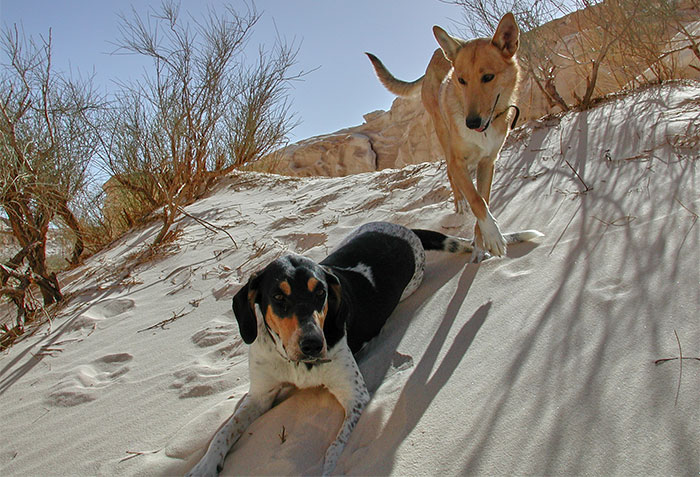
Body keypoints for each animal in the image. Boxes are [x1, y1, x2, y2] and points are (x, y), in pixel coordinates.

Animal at [187, 221, 540, 474]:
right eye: (278, 297)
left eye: (321, 293)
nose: (314, 345)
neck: (295, 363)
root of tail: (405, 229)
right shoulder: (260, 395)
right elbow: (222, 432)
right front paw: (204, 467)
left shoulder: (355, 397)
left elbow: (333, 450)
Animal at [370, 13, 524, 260]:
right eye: (461, 80)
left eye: (488, 77)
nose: (471, 123)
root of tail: (435, 56)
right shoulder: (458, 159)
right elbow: (476, 200)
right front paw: (493, 236)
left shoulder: (488, 162)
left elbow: (484, 199)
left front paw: (481, 243)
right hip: (442, 131)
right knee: (451, 172)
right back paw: (459, 201)